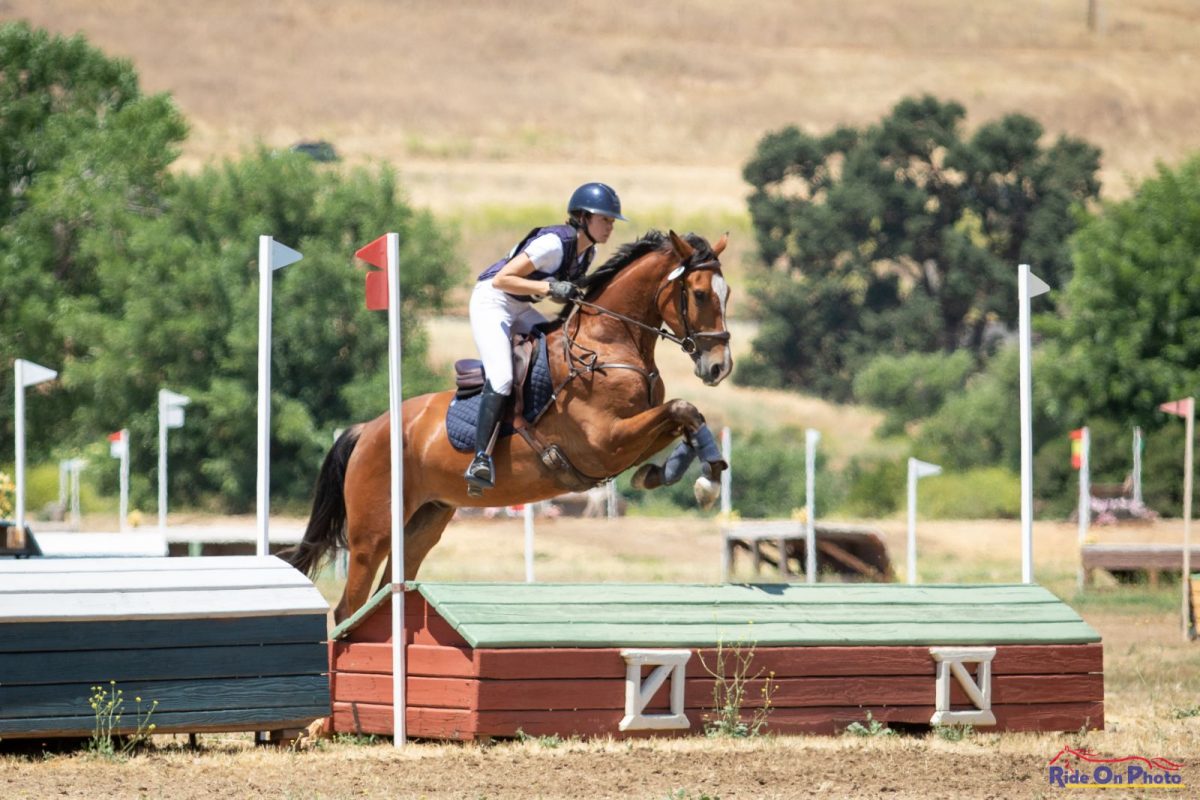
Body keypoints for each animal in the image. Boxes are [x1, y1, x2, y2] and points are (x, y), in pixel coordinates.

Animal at [286, 229, 733, 623]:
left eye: (726, 293)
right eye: (698, 294)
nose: (719, 367)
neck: (606, 344)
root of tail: (368, 429)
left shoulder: (629, 440)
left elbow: (685, 417)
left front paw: (682, 474)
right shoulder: (604, 443)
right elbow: (682, 408)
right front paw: (705, 480)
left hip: (424, 522)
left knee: (389, 589)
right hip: (373, 533)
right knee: (348, 607)